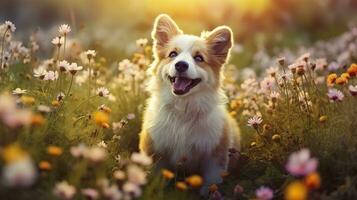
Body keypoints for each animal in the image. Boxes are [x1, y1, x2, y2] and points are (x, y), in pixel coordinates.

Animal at [138, 13, 241, 194]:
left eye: (199, 58)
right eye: (173, 54)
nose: (180, 65)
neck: (183, 109)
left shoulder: (215, 156)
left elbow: (211, 183)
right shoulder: (155, 151)